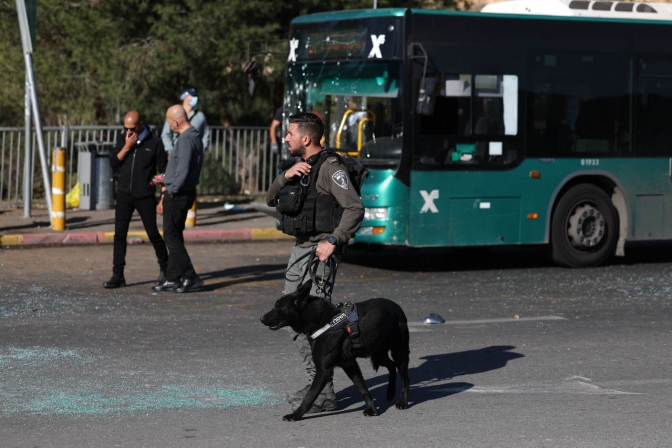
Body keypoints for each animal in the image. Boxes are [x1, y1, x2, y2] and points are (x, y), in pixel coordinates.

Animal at [262, 282, 410, 422]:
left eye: (278, 306)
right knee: (391, 366)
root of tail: (397, 307)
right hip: (377, 354)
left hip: (399, 353)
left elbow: (310, 396)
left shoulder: (324, 370)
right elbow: (362, 388)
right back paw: (390, 392)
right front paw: (372, 409)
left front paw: (296, 415)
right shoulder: (350, 364)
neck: (321, 321)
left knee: (405, 378)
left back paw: (402, 401)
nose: (261, 319)